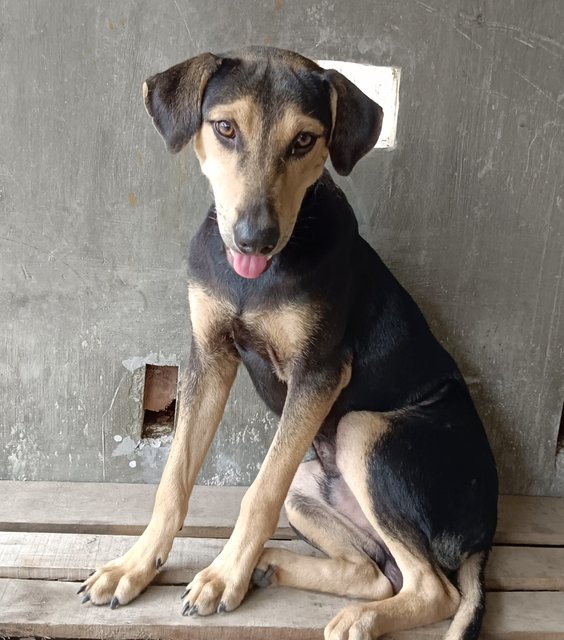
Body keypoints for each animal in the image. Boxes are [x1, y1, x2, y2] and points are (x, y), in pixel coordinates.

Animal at [77, 46, 496, 640]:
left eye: (303, 140)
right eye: (225, 128)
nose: (255, 238)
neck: (255, 279)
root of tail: (487, 530)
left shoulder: (318, 374)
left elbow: (258, 494)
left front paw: (224, 576)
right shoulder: (209, 357)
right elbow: (174, 478)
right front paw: (135, 565)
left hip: (361, 431)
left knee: (433, 589)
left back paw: (349, 615)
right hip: (307, 484)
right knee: (375, 572)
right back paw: (271, 567)